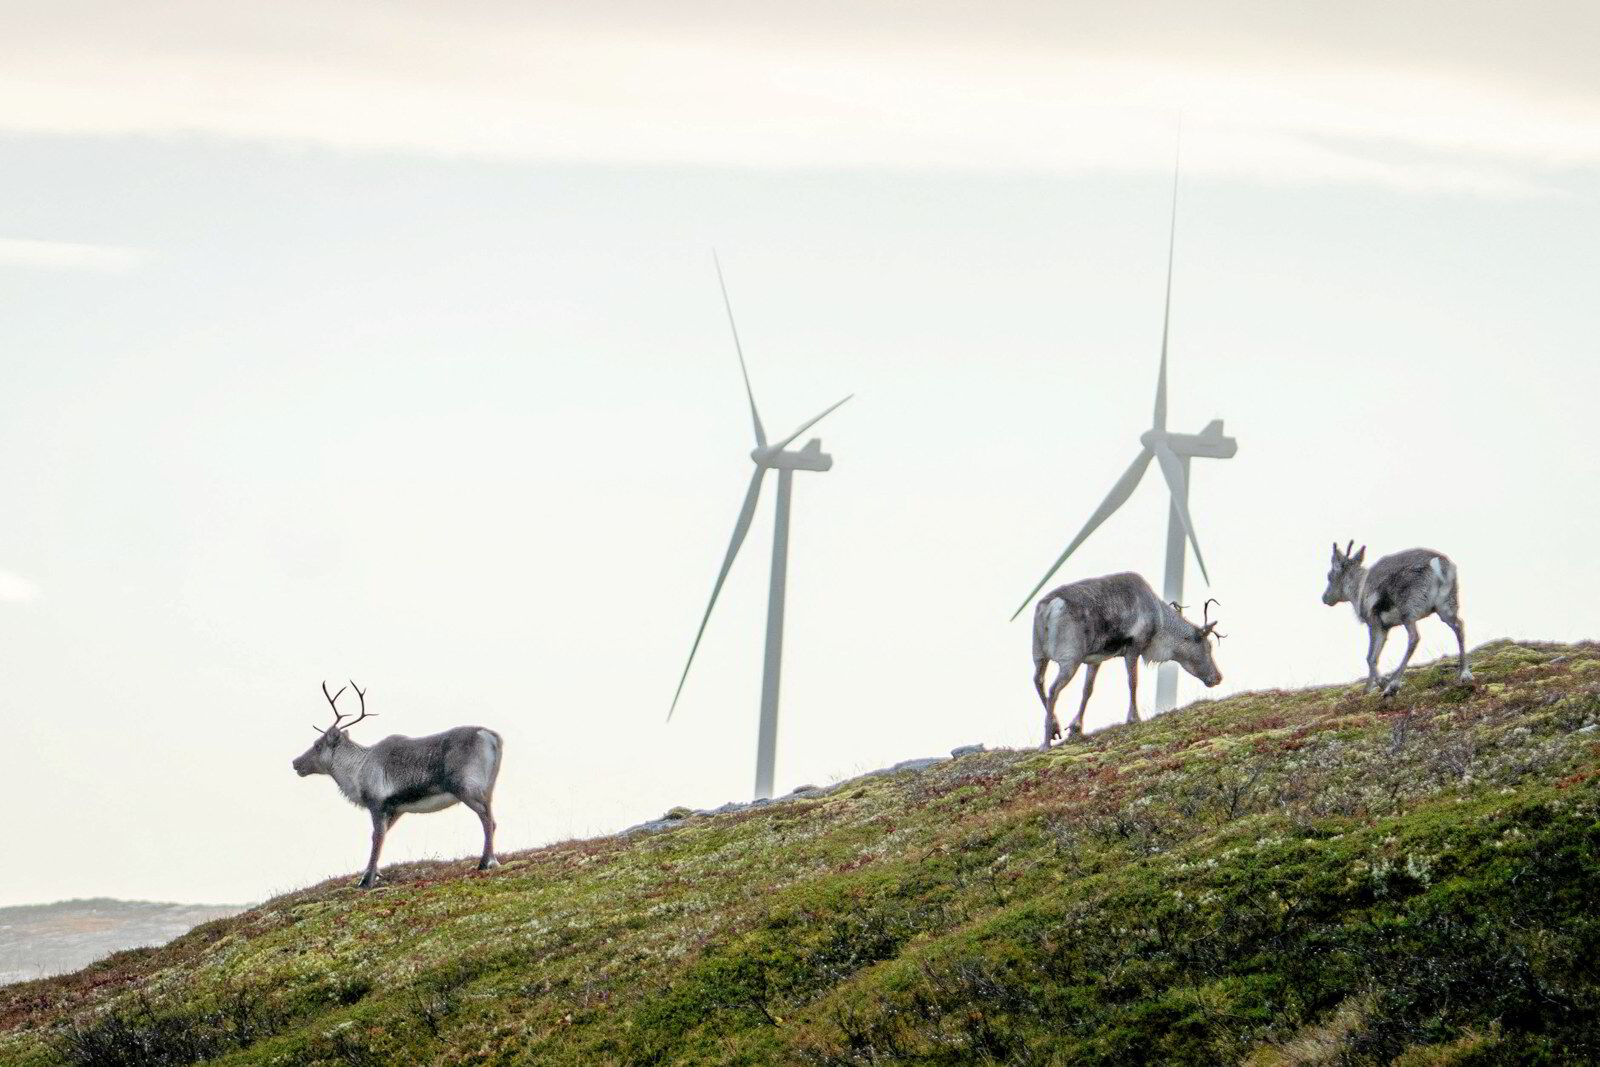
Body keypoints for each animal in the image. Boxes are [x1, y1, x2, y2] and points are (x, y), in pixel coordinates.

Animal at [291, 681, 504, 889]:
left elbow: (376, 837)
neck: (357, 770)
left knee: (487, 820)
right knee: (491, 818)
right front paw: (375, 873)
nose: (295, 762)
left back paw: (485, 863)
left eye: (317, 745)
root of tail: (492, 736)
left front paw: (366, 881)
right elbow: (383, 836)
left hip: (466, 788)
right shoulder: (395, 809)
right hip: (488, 789)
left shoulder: (377, 803)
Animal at [1031, 572, 1224, 748]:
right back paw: (1046, 742)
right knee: (1053, 689)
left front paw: (1075, 727)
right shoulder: (1133, 647)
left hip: (1039, 654)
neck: (1160, 625)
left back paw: (1055, 728)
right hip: (1070, 658)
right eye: (1208, 646)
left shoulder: (1095, 658)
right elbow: (1133, 682)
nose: (1218, 677)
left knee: (1038, 681)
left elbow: (1088, 690)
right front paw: (1134, 718)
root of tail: (1050, 606)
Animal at [1323, 541, 1472, 697]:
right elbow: (1374, 657)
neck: (1358, 589)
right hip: (1445, 606)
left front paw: (1380, 684)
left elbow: (1370, 657)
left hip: (1408, 611)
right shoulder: (1386, 627)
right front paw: (1370, 688)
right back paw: (1464, 673)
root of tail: (1437, 562)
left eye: (1329, 576)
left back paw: (1393, 685)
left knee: (1414, 637)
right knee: (1459, 626)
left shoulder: (1374, 622)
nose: (1325, 598)